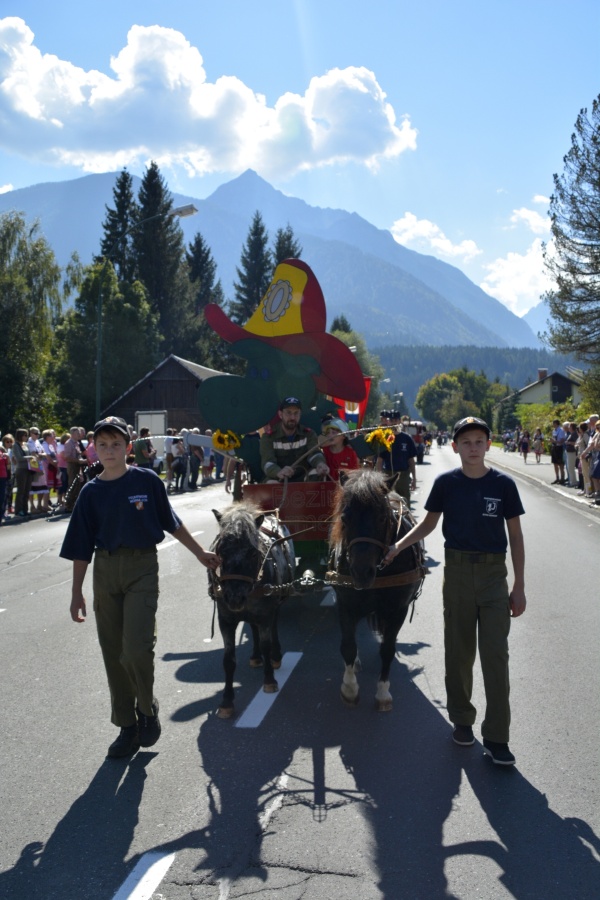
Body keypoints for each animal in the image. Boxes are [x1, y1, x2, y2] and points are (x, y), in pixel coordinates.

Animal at [209, 500, 296, 716]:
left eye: (252, 552)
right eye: (221, 550)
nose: (234, 596)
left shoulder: (265, 613)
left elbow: (266, 643)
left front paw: (269, 680)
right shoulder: (226, 620)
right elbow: (228, 659)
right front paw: (227, 701)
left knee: (273, 625)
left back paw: (275, 656)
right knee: (253, 628)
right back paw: (256, 657)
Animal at [328, 472, 426, 712]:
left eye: (382, 518)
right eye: (345, 518)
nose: (361, 572)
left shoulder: (398, 610)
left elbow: (388, 650)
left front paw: (382, 693)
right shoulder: (345, 605)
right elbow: (348, 646)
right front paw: (350, 688)